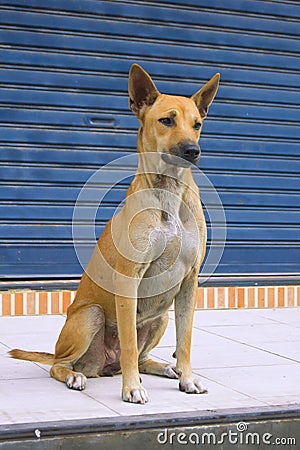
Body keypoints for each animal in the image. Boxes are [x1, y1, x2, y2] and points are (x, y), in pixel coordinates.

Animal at [9, 64, 220, 404]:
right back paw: (76, 376)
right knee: (61, 365)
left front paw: (187, 378)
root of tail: (104, 365)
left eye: (197, 124)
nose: (192, 150)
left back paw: (166, 367)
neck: (168, 191)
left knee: (142, 356)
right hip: (90, 316)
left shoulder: (189, 281)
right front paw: (132, 388)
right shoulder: (129, 278)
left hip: (160, 317)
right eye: (166, 120)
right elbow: (130, 344)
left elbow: (184, 340)